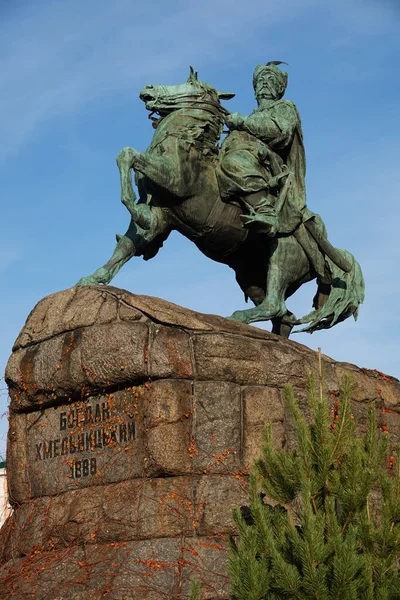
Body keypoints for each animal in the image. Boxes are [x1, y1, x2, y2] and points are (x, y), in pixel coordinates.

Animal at [76, 70, 364, 338]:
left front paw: (136, 210)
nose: (148, 88)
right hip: (251, 279)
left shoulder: (174, 181)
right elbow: (125, 247)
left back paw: (238, 315)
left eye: (191, 84)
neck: (184, 144)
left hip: (281, 254)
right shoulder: (161, 217)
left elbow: (127, 154)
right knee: (285, 317)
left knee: (276, 305)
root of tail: (322, 249)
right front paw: (93, 278)